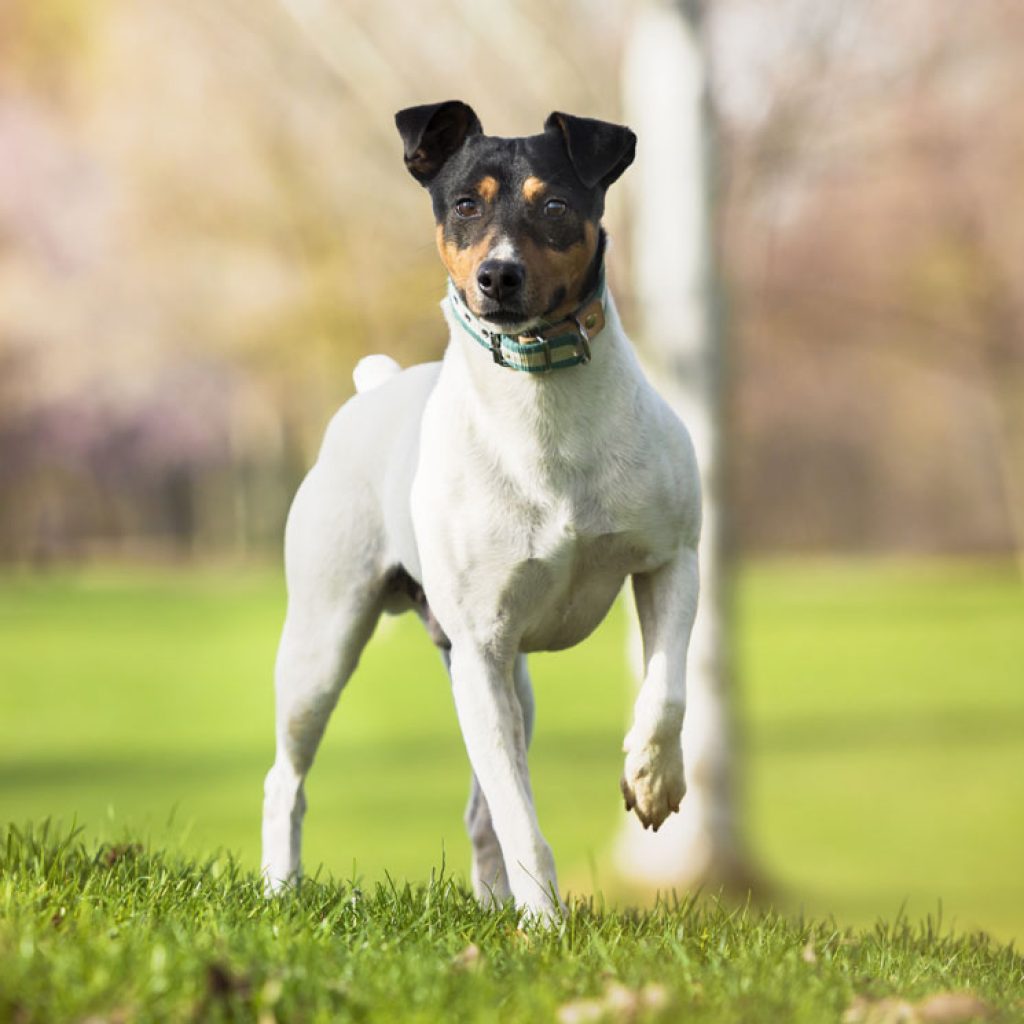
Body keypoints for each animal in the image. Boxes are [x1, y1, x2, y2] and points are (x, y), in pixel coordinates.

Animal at [260, 101, 700, 921]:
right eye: (465, 204)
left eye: (554, 205)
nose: (498, 275)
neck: (542, 405)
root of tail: (376, 388)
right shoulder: (481, 650)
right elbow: (521, 818)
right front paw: (548, 923)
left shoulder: (671, 561)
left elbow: (667, 692)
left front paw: (654, 781)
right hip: (326, 645)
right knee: (288, 778)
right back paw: (281, 886)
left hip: (510, 681)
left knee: (480, 809)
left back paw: (496, 906)